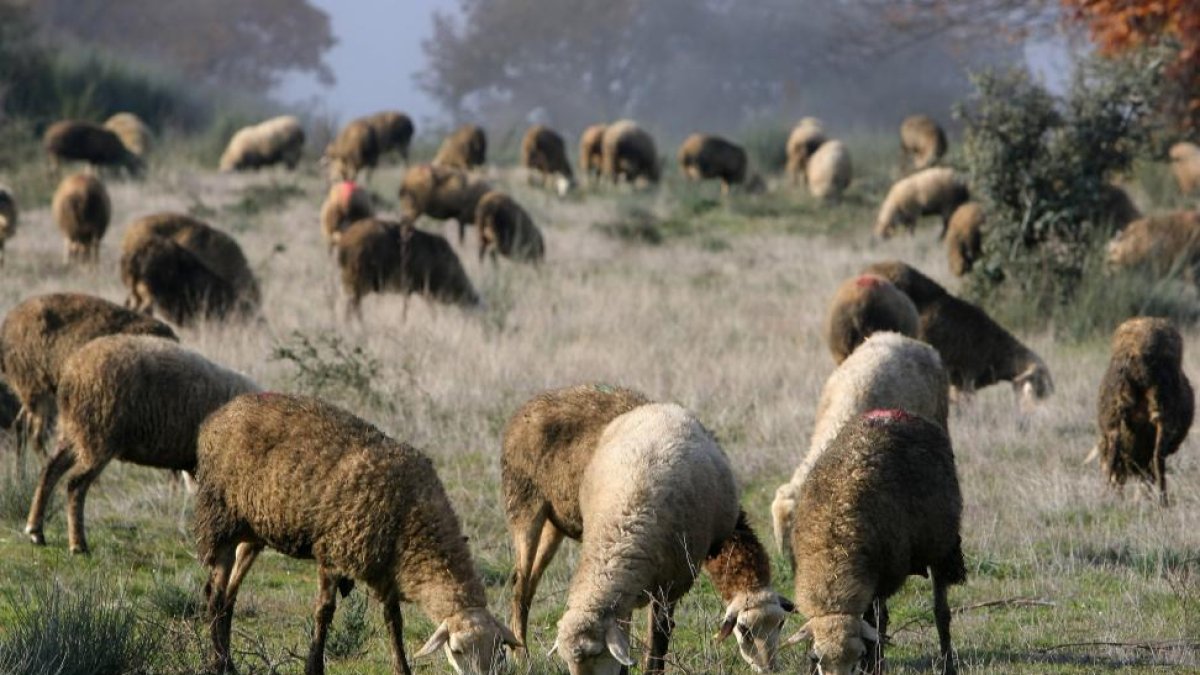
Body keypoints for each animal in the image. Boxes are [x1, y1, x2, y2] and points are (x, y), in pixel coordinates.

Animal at [24, 335, 258, 554]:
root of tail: (71, 374)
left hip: (75, 432)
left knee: (50, 470)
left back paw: (35, 531)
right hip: (98, 435)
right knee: (75, 484)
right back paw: (78, 544)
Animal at [193, 392, 519, 675]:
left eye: (499, 648)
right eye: (458, 650)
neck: (413, 513)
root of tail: (219, 414)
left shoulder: (389, 569)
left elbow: (394, 622)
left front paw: (402, 668)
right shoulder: (332, 550)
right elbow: (324, 612)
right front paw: (314, 667)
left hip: (251, 532)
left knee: (229, 597)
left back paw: (226, 661)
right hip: (219, 519)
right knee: (215, 596)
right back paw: (219, 663)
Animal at [336, 218, 480, 318]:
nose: (474, 300)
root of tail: (343, 244)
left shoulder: (412, 289)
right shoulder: (417, 288)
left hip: (354, 283)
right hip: (359, 282)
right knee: (353, 307)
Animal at [502, 385, 792, 673]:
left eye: (781, 624)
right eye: (744, 629)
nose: (770, 669)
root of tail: (533, 403)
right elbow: (654, 638)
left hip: (554, 523)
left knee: (530, 582)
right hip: (524, 503)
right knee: (520, 584)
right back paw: (521, 656)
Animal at [784, 410, 965, 675]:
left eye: (856, 658)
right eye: (815, 658)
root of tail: (901, 413)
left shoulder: (882, 580)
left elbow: (877, 624)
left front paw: (873, 665)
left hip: (941, 547)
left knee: (941, 612)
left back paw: (947, 665)